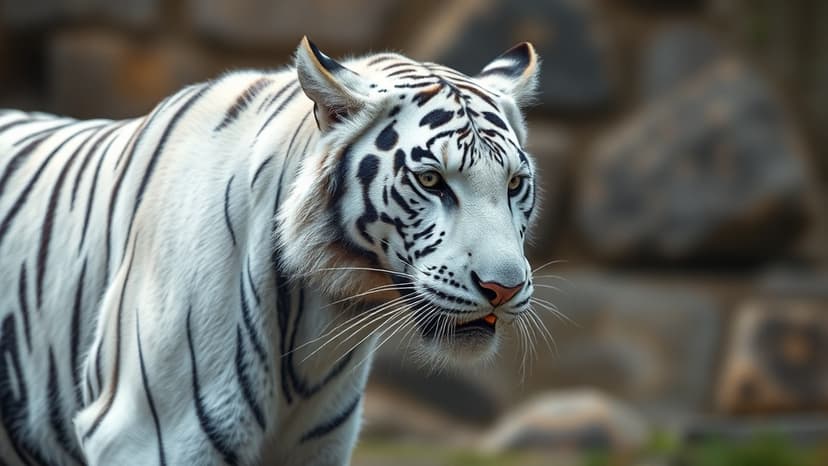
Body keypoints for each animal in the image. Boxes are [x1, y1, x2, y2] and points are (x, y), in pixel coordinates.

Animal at [0, 36, 542, 465]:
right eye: (431, 181)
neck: (322, 319)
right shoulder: (148, 436)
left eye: (514, 184)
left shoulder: (319, 448)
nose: (502, 289)